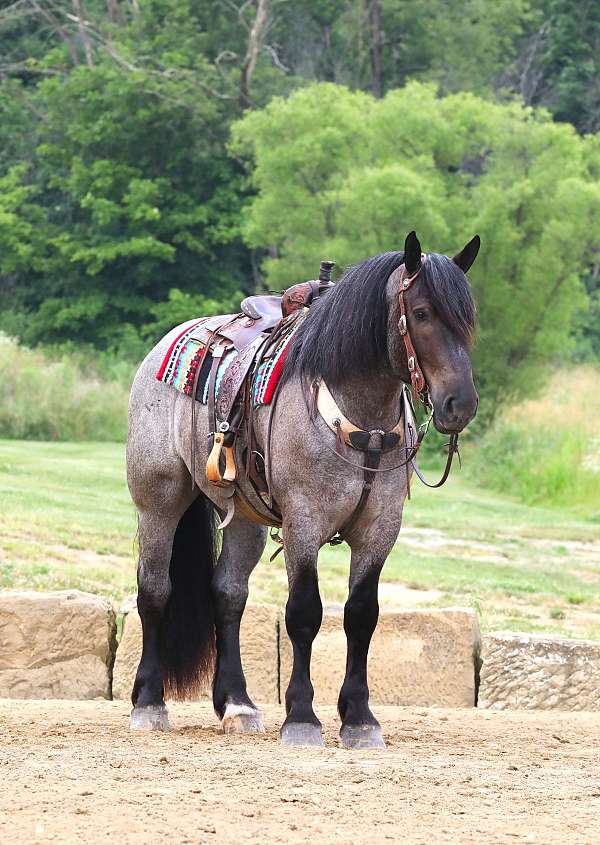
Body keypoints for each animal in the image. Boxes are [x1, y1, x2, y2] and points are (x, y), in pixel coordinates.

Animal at [127, 229, 482, 744]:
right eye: (421, 313)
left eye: (467, 318)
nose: (461, 403)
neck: (363, 425)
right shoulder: (304, 524)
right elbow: (304, 613)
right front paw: (301, 715)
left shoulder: (379, 531)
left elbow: (361, 615)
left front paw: (359, 717)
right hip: (159, 501)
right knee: (154, 589)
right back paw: (149, 703)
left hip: (246, 519)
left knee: (228, 595)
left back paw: (237, 704)